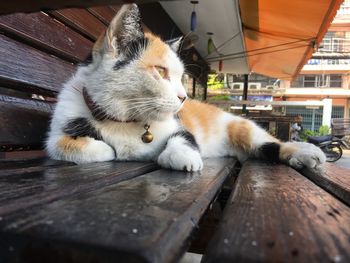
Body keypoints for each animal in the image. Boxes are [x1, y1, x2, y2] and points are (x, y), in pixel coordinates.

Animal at [45, 4, 326, 173]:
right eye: (161, 72)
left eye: (182, 76)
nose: (184, 97)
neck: (124, 121)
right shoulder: (59, 128)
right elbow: (65, 145)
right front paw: (105, 148)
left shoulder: (179, 127)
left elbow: (183, 137)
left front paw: (181, 156)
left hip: (241, 126)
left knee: (269, 142)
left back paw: (305, 152)